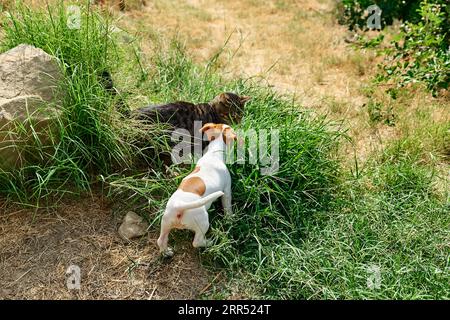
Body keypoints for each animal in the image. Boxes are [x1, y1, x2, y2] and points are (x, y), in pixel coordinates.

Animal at [157, 122, 237, 255]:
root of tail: (179, 207)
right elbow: (227, 206)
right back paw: (210, 242)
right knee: (196, 242)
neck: (213, 153)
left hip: (166, 223)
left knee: (161, 240)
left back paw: (167, 252)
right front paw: (230, 219)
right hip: (203, 221)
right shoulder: (227, 191)